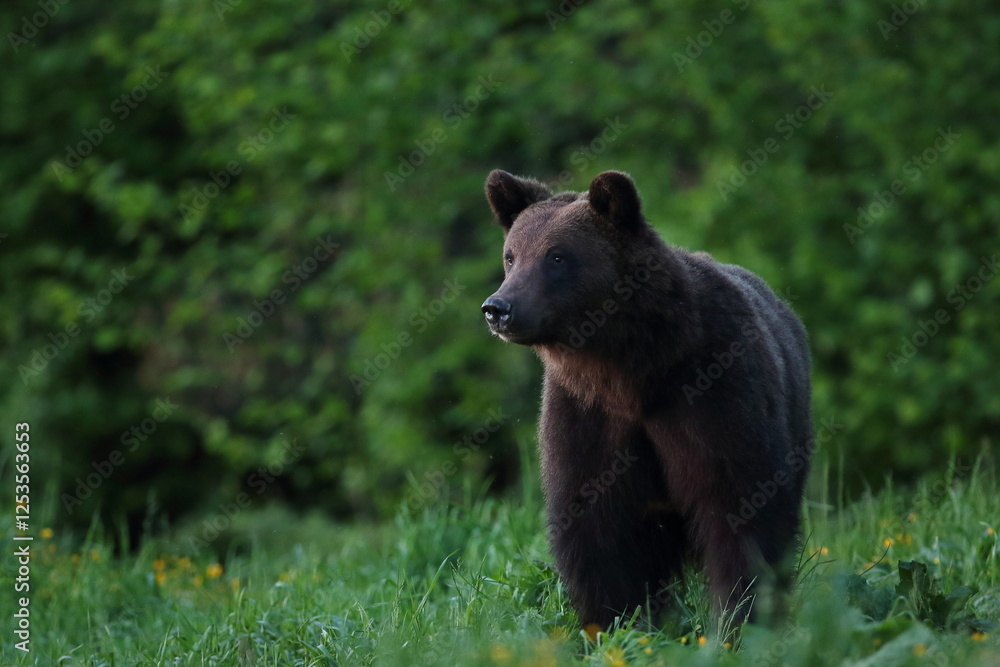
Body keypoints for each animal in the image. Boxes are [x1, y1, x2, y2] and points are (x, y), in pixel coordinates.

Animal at [480, 169, 812, 632]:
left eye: (557, 256)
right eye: (511, 255)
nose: (498, 308)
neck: (630, 371)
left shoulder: (716, 394)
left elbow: (741, 507)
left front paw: (740, 618)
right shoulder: (587, 414)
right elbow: (594, 525)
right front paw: (614, 621)